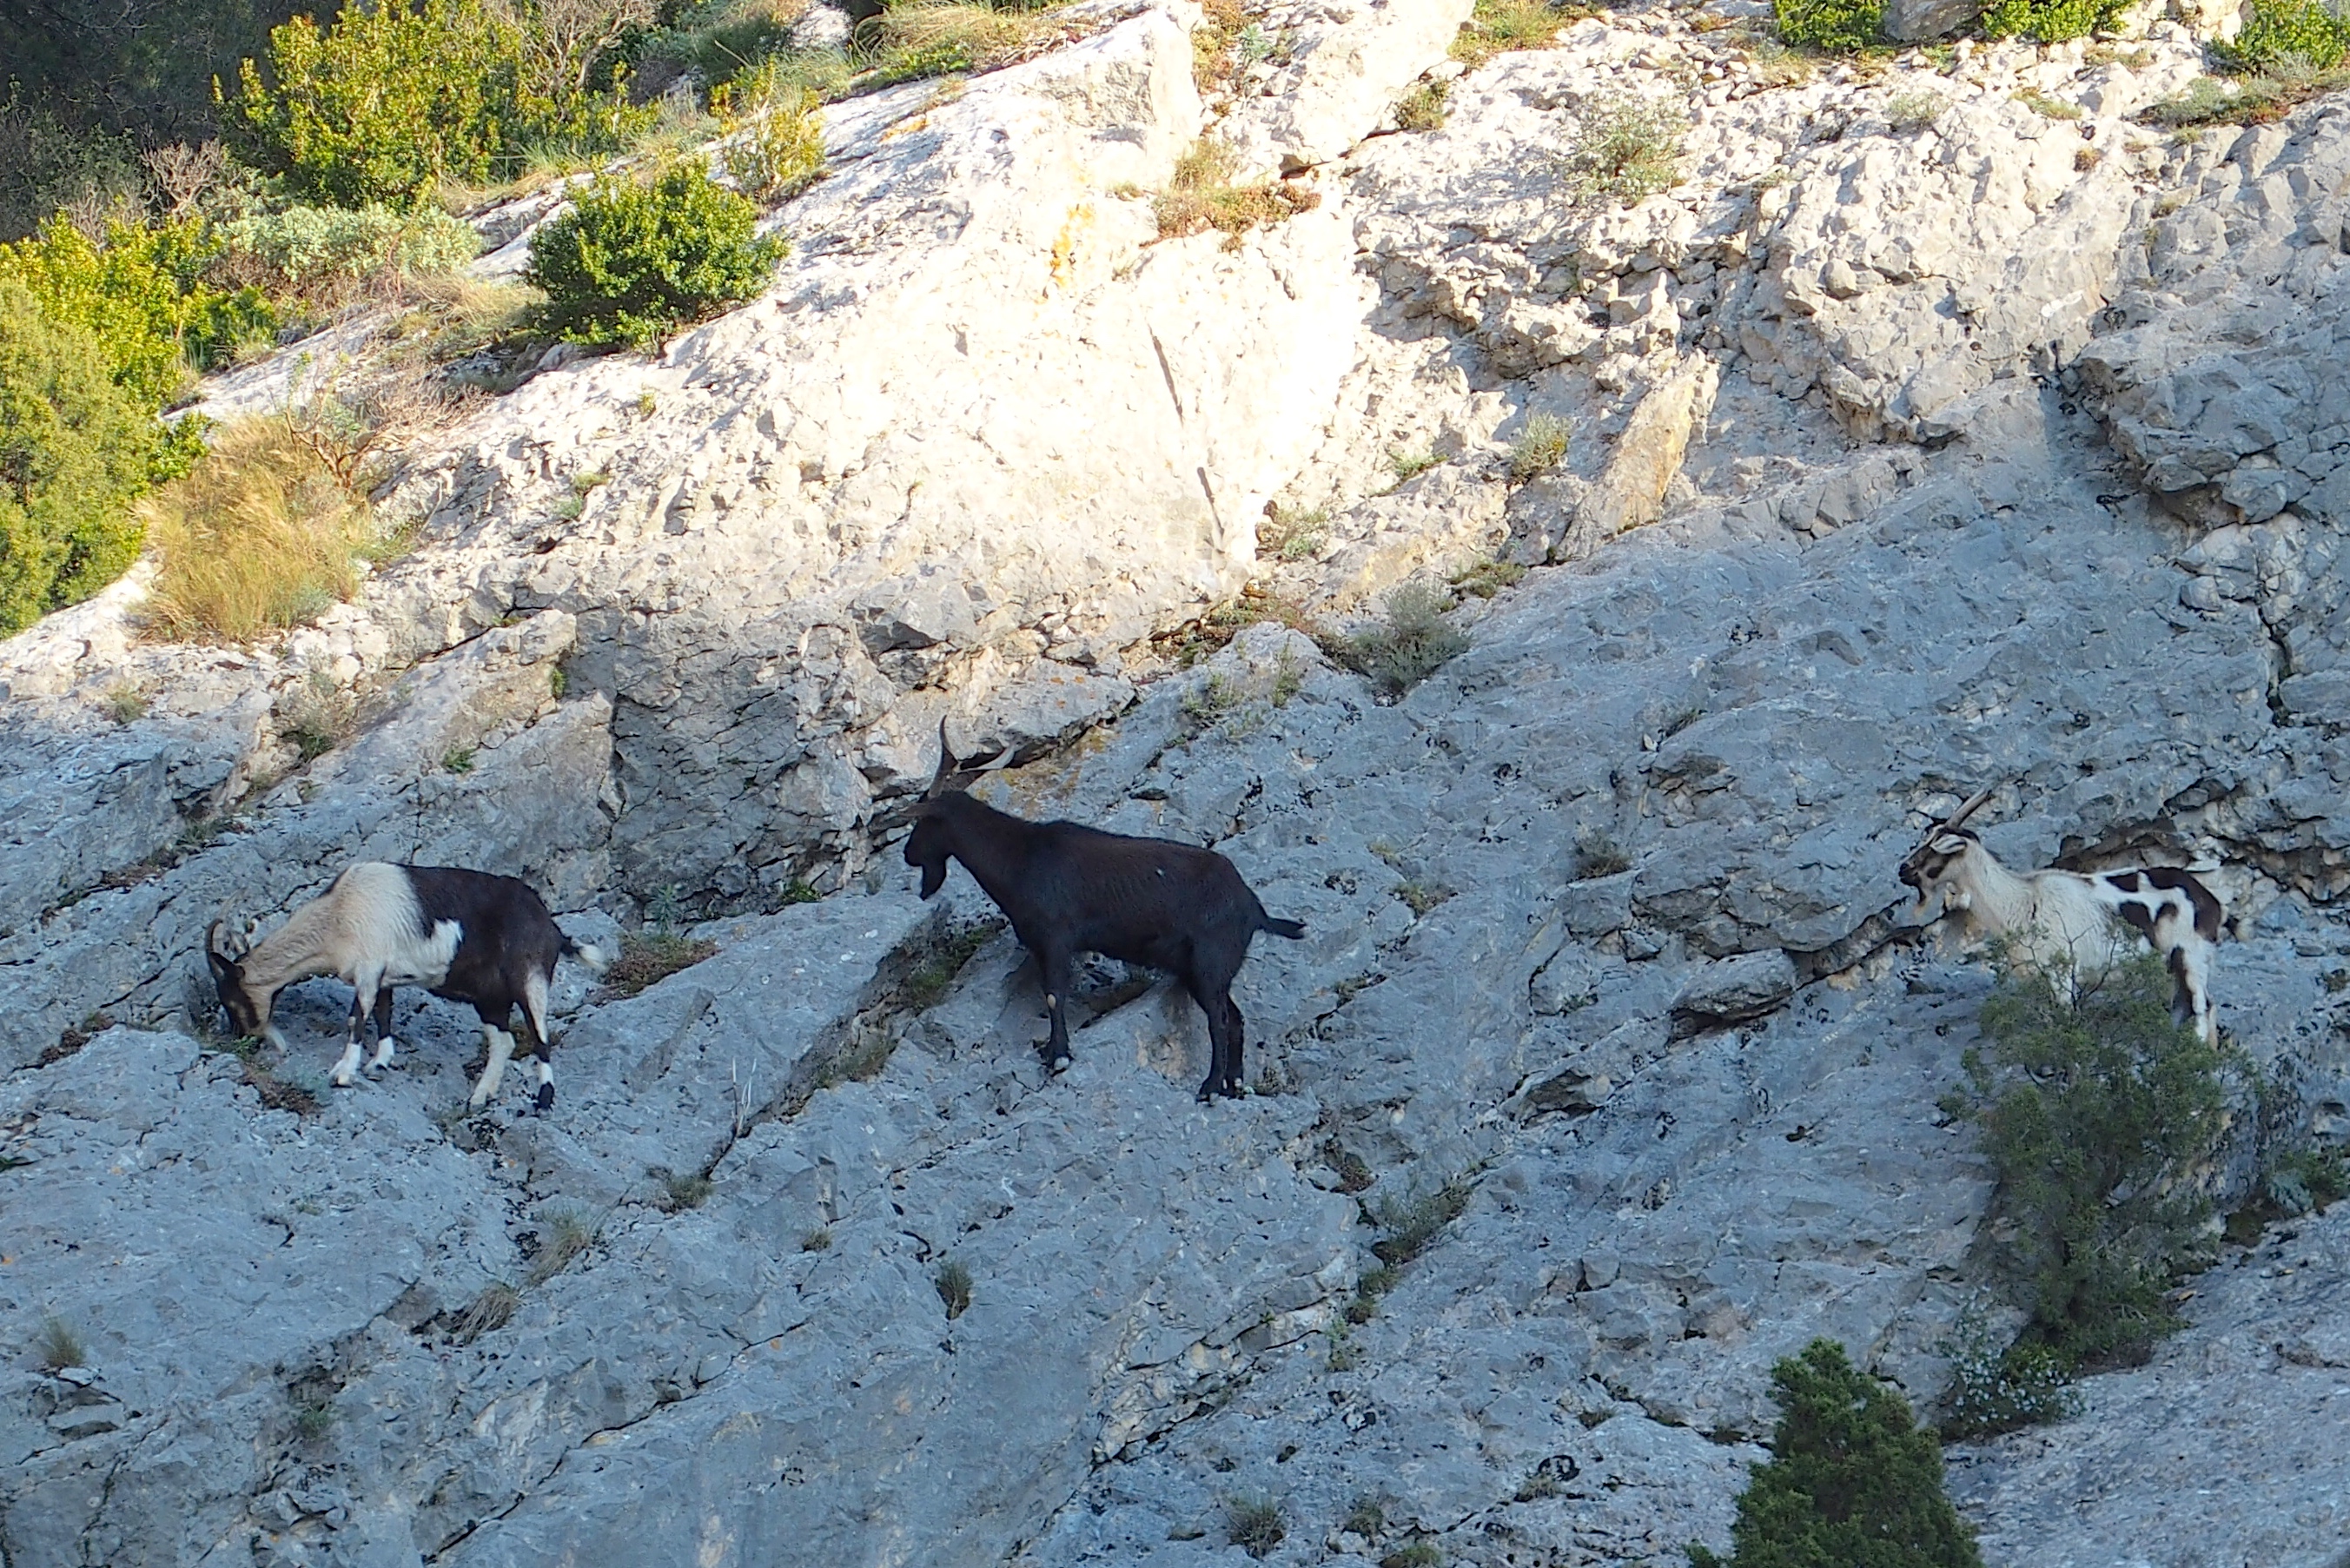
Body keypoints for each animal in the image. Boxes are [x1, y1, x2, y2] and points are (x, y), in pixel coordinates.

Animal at [206, 863, 610, 1112]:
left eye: (230, 999)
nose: (244, 1040)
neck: (338, 914)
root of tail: (552, 929)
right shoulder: (382, 977)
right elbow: (383, 1016)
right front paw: (380, 1063)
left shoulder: (369, 969)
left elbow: (356, 1020)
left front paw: (342, 1073)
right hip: (490, 1000)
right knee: (504, 1042)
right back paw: (479, 1098)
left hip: (529, 980)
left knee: (539, 1037)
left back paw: (543, 1099)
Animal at [900, 724, 1306, 1101]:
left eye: (923, 820)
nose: (908, 854)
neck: (1022, 858)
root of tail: (1252, 907)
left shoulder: (1057, 938)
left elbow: (1054, 994)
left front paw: (1059, 1056)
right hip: (1203, 970)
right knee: (1234, 1018)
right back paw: (1235, 1083)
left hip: (1210, 960)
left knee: (1219, 1022)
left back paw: (1211, 1087)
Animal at [1897, 785, 2223, 1044]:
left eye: (1935, 847)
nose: (1903, 870)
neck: (2020, 901)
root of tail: (2211, 903)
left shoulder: (2062, 973)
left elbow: (2066, 1021)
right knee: (2184, 1007)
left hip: (2190, 955)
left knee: (2202, 1006)